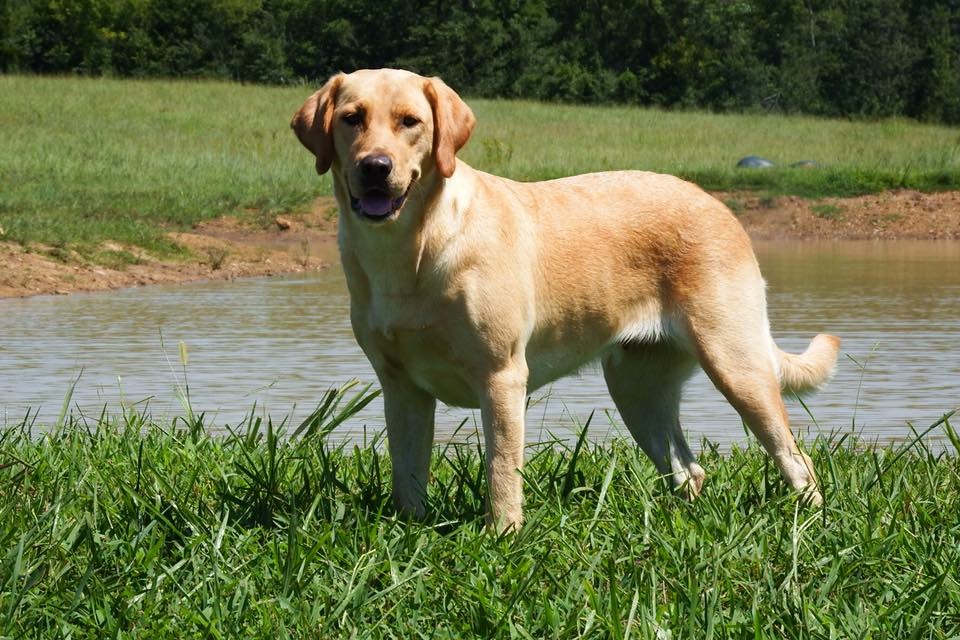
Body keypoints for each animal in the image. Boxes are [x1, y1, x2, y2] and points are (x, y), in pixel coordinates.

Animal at [294, 69, 840, 528]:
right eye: (351, 118)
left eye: (410, 122)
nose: (375, 167)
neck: (408, 249)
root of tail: (716, 203)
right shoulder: (400, 385)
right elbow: (407, 474)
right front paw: (411, 534)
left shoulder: (501, 377)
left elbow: (501, 472)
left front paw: (502, 537)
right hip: (636, 387)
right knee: (688, 468)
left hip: (735, 364)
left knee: (797, 459)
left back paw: (808, 524)